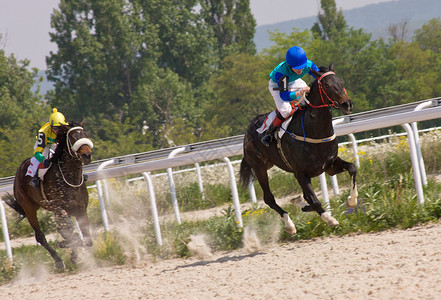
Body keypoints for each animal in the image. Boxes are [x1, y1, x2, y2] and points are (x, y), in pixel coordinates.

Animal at [4, 122, 93, 270]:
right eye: (72, 137)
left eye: (85, 134)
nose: (87, 155)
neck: (69, 178)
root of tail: (20, 169)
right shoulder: (59, 208)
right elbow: (69, 231)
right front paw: (64, 244)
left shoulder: (80, 209)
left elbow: (86, 239)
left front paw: (73, 254)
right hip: (29, 208)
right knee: (40, 236)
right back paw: (58, 260)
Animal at [241, 63, 358, 234]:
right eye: (327, 85)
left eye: (341, 81)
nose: (347, 104)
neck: (314, 130)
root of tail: (248, 131)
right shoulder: (300, 174)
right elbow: (315, 201)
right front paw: (330, 219)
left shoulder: (329, 165)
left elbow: (352, 168)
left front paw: (352, 200)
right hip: (259, 167)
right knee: (269, 198)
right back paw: (290, 225)